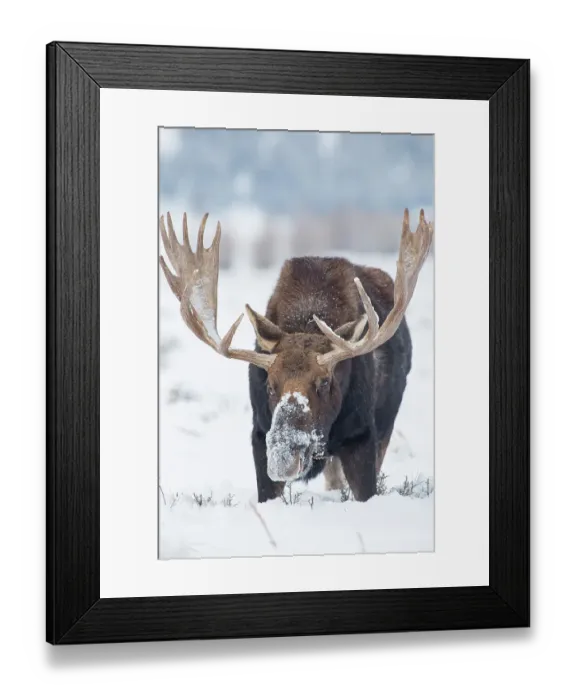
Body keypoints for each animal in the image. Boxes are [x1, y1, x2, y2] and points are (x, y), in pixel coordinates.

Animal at [159, 208, 433, 503]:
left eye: (324, 381)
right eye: (269, 384)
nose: (284, 457)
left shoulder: (363, 435)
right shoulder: (259, 435)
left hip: (386, 422)